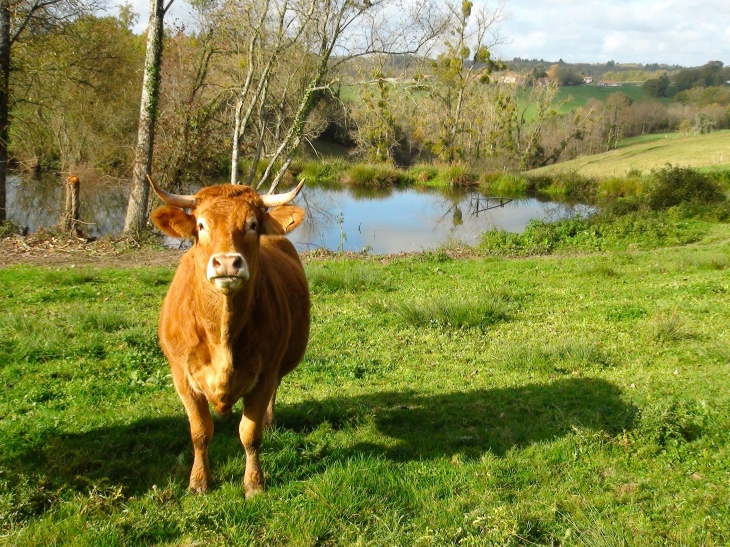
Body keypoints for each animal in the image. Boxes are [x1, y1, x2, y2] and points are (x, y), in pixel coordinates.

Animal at [148, 178, 308, 498]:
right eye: (200, 225)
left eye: (253, 225)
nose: (226, 263)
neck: (220, 333)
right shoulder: (182, 377)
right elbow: (200, 432)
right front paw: (199, 481)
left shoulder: (264, 373)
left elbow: (250, 434)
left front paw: (254, 483)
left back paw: (270, 422)